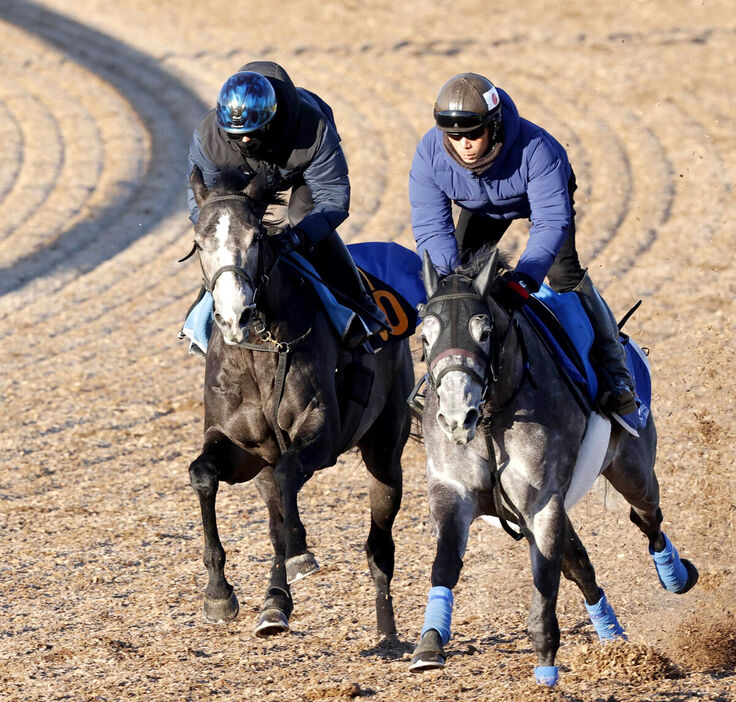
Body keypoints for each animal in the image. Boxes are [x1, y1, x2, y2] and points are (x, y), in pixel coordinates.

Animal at [185, 168, 414, 640]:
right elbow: (203, 474)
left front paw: (300, 554)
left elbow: (291, 472)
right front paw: (218, 593)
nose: (234, 316)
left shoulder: (321, 436)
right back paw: (274, 606)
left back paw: (388, 633)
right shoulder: (240, 448)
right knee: (275, 519)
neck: (259, 350)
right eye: (199, 243)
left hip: (385, 450)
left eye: (255, 236)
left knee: (379, 545)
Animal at [412, 249, 700, 688]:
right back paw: (613, 640)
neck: (492, 416)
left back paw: (675, 577)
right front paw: (430, 644)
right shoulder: (452, 490)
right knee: (582, 566)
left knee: (647, 517)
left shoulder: (542, 503)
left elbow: (545, 579)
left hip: (633, 469)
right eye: (425, 336)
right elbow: (445, 563)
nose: (457, 417)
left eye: (485, 332)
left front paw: (546, 662)